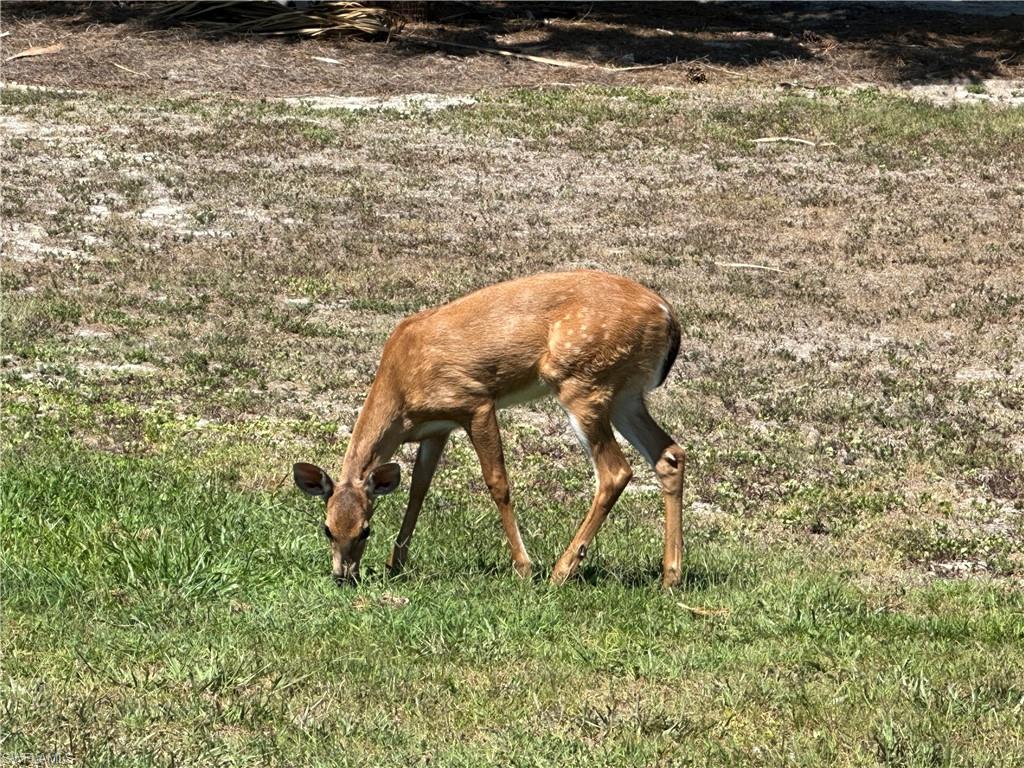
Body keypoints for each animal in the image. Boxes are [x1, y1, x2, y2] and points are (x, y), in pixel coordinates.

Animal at [293, 270, 686, 588]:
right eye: (327, 528)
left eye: (366, 530)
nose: (343, 576)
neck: (401, 390)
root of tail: (668, 315)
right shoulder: (438, 428)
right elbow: (418, 489)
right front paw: (396, 564)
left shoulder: (474, 402)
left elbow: (497, 482)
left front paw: (524, 568)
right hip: (625, 394)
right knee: (669, 454)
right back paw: (670, 577)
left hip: (584, 382)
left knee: (615, 471)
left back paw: (560, 572)